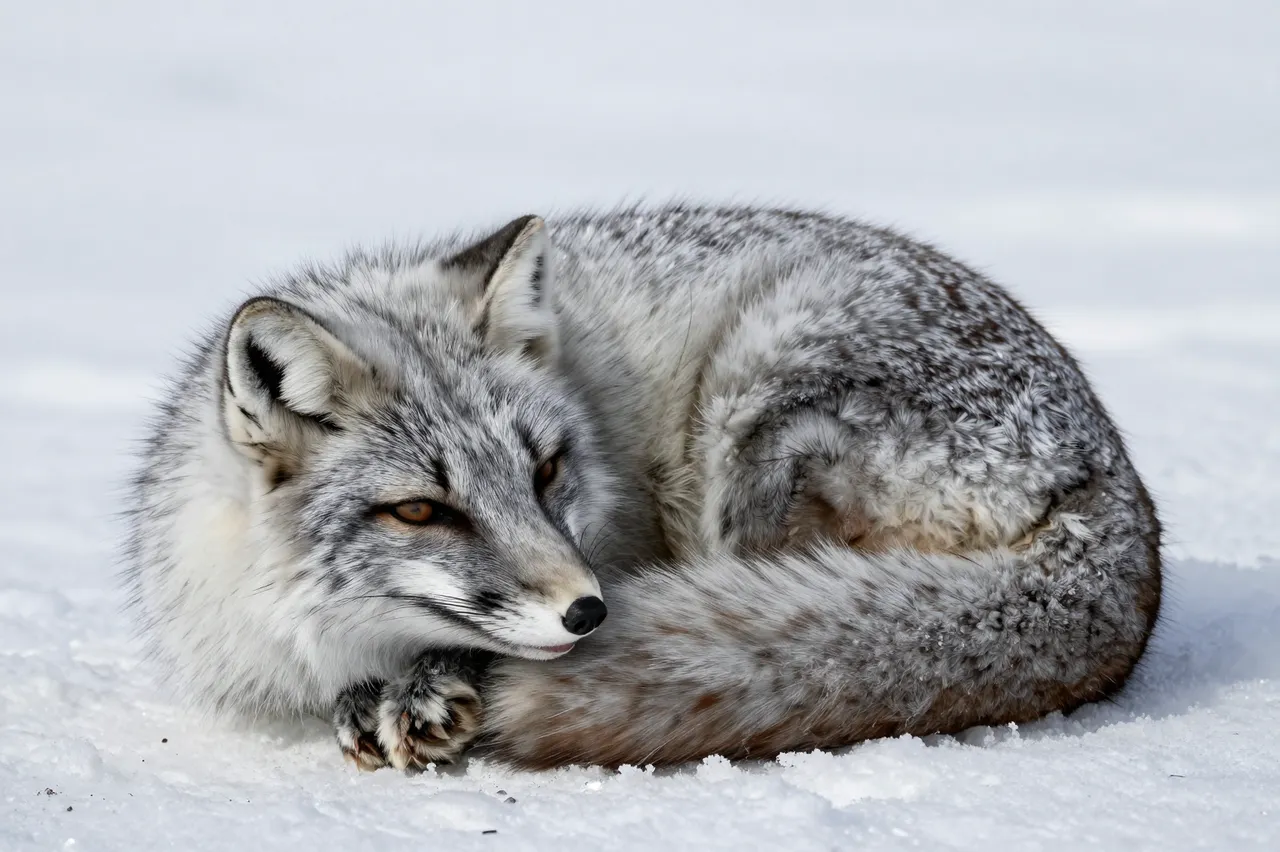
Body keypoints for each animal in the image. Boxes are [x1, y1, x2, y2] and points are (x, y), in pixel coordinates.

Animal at [123, 204, 1162, 772]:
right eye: (420, 509)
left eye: (546, 470)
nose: (588, 613)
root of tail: (1120, 494)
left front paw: (430, 687)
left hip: (751, 393)